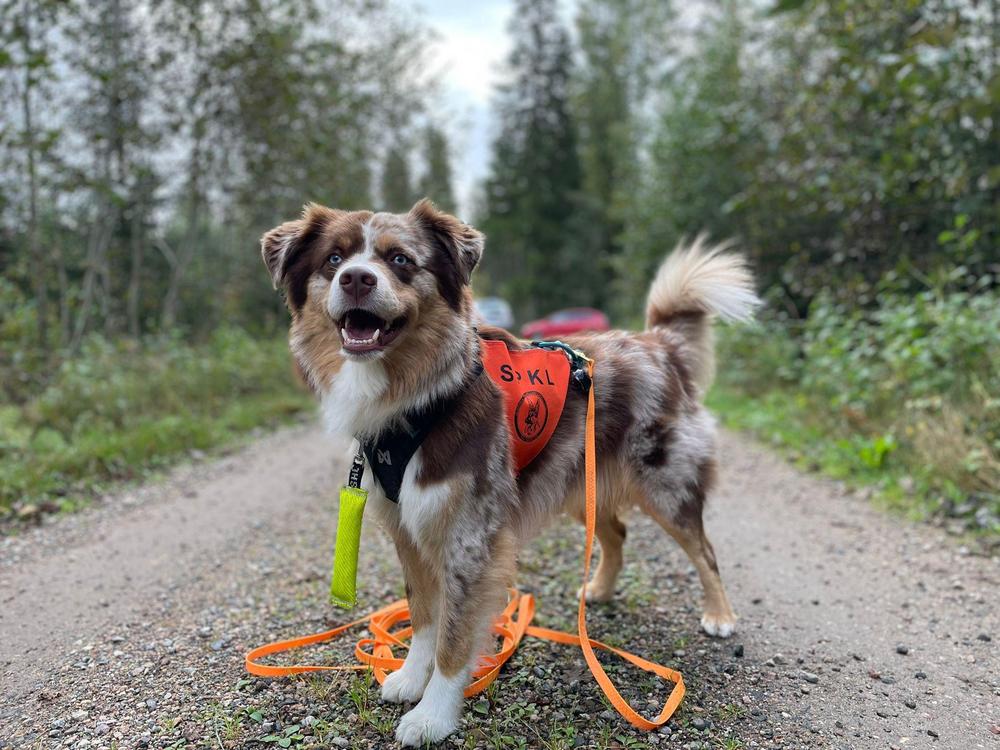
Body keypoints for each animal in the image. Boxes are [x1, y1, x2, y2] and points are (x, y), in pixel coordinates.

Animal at [261, 199, 759, 746]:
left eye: (400, 260)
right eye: (333, 259)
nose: (355, 279)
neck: (421, 398)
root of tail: (660, 343)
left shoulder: (470, 536)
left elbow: (454, 635)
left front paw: (434, 715)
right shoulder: (405, 526)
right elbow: (423, 615)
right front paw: (411, 676)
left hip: (666, 482)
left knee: (704, 550)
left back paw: (719, 615)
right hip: (581, 481)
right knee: (616, 532)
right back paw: (599, 590)